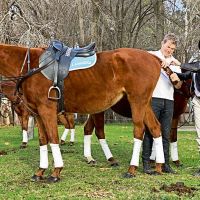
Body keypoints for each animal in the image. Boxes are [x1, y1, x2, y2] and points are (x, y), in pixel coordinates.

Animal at [0, 43, 162, 182]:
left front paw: (56, 171)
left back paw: (132, 168)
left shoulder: (46, 110)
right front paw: (40, 171)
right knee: (155, 128)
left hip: (137, 101)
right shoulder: (37, 113)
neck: (32, 66)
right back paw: (159, 166)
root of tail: (154, 58)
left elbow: (53, 138)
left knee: (139, 130)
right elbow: (43, 140)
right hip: (144, 104)